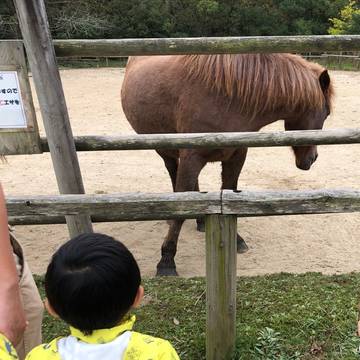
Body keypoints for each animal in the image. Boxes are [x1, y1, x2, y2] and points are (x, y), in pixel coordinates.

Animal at [121, 52, 334, 276]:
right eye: (326, 113)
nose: (312, 158)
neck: (228, 99)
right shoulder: (191, 157)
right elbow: (181, 205)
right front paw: (167, 261)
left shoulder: (236, 155)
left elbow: (230, 193)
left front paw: (237, 240)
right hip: (166, 150)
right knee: (173, 173)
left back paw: (200, 220)